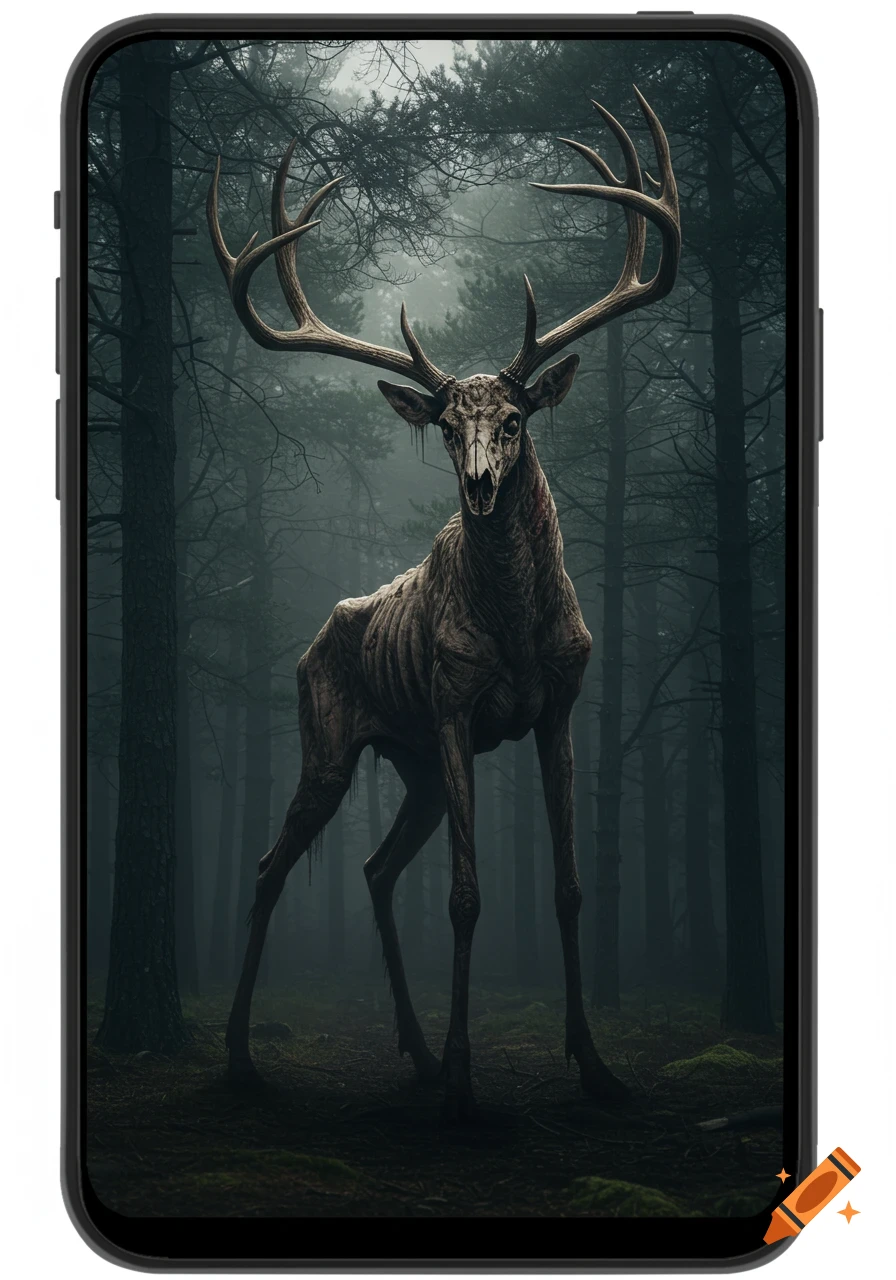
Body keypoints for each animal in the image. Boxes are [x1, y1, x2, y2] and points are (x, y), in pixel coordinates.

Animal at [207, 89, 680, 1121]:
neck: (516, 629)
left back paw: (416, 1055)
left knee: (378, 871)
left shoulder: (561, 706)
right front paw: (467, 1087)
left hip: (415, 764)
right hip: (332, 743)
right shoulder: (458, 705)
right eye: (446, 427)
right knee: (270, 868)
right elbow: (466, 895)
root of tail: (311, 642)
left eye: (514, 419)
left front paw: (594, 1066)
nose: (480, 487)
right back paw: (242, 1060)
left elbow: (570, 888)